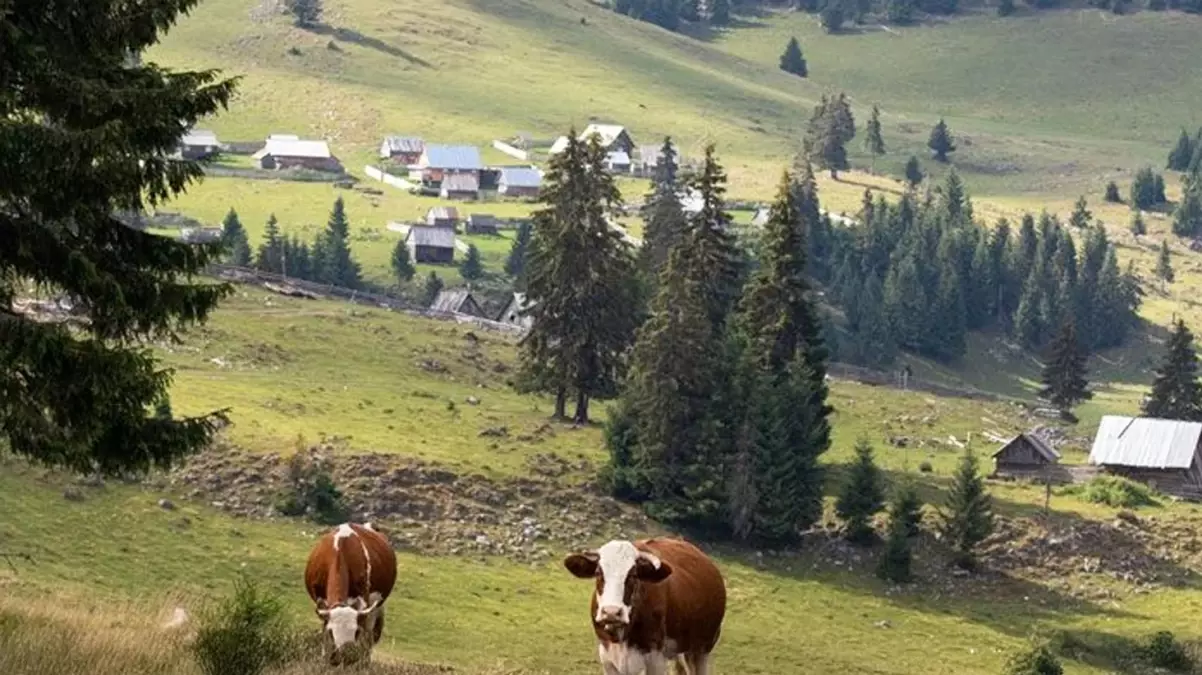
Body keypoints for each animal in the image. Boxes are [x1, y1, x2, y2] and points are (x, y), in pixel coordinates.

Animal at [302, 521, 396, 662]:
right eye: (331, 632)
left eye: (356, 631)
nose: (342, 654)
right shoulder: (322, 602)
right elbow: (323, 629)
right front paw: (324, 657)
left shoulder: (363, 601)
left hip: (376, 607)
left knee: (369, 637)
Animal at [562, 535, 721, 672]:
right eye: (598, 573)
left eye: (633, 575)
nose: (611, 612)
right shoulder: (607, 658)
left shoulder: (656, 658)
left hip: (702, 648)